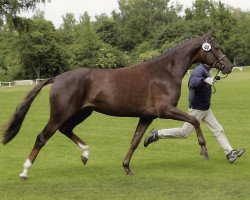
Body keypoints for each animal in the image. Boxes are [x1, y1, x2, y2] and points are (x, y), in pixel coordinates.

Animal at [1, 31, 233, 180]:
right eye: (215, 47)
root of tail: (56, 78)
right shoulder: (165, 111)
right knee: (43, 137)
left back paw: (85, 154)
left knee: (66, 129)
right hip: (61, 113)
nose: (228, 66)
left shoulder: (147, 116)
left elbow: (135, 141)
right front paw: (204, 151)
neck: (164, 72)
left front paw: (127, 168)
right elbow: (194, 120)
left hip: (82, 112)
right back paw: (25, 171)